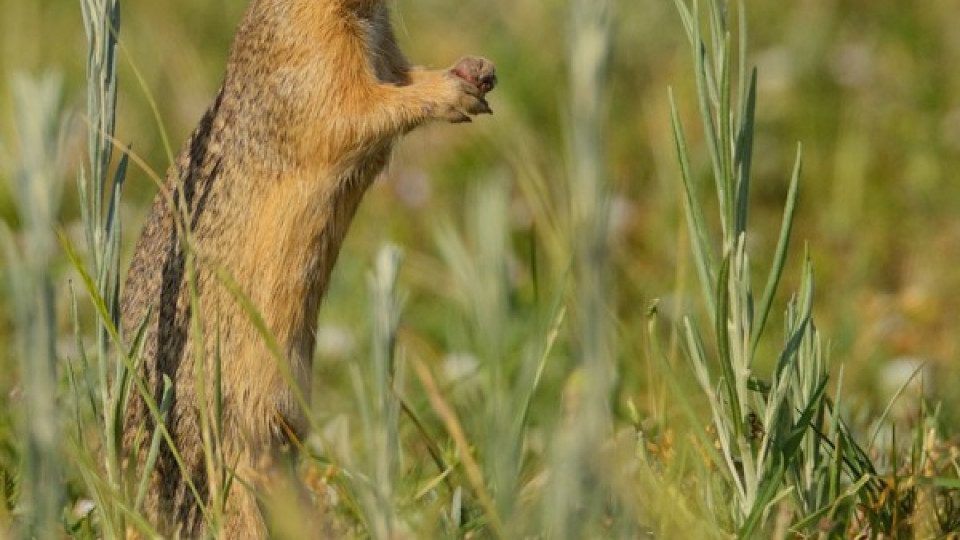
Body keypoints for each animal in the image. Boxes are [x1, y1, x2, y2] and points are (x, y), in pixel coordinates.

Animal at [119, 0, 496, 536]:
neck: (363, 16)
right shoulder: (308, 61)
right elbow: (353, 111)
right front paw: (450, 91)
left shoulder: (386, 53)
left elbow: (401, 77)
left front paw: (475, 69)